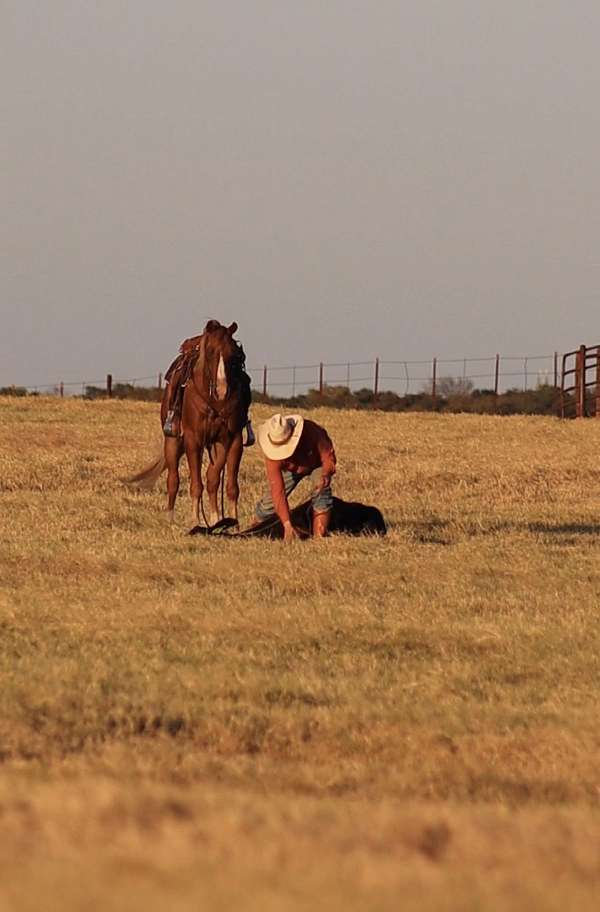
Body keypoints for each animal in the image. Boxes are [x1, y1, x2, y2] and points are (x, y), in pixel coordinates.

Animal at [125, 320, 248, 526]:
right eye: (210, 351)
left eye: (234, 354)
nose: (222, 390)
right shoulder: (193, 440)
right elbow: (196, 484)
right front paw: (194, 521)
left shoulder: (233, 439)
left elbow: (228, 485)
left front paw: (233, 522)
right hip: (172, 441)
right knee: (173, 480)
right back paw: (170, 517)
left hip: (215, 444)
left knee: (213, 479)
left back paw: (215, 518)